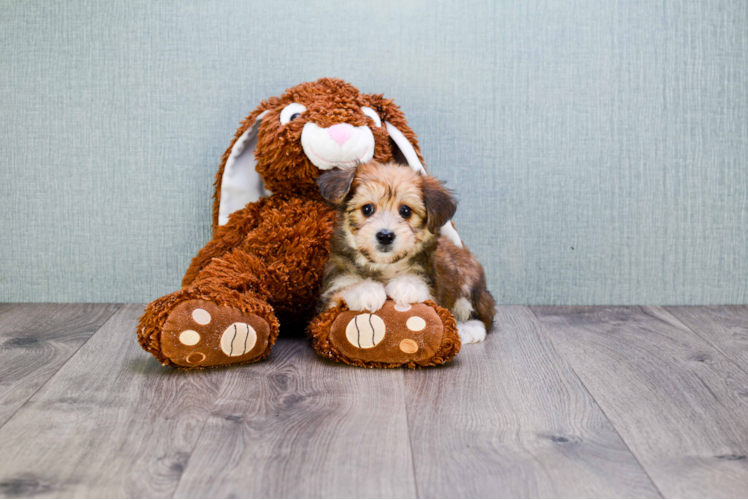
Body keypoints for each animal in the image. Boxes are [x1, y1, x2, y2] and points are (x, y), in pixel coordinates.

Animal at [314, 162, 494, 342]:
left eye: (406, 211)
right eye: (367, 209)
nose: (385, 236)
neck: (383, 266)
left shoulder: (432, 284)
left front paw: (406, 285)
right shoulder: (330, 293)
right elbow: (344, 286)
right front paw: (365, 290)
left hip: (469, 281)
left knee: (480, 312)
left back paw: (470, 328)